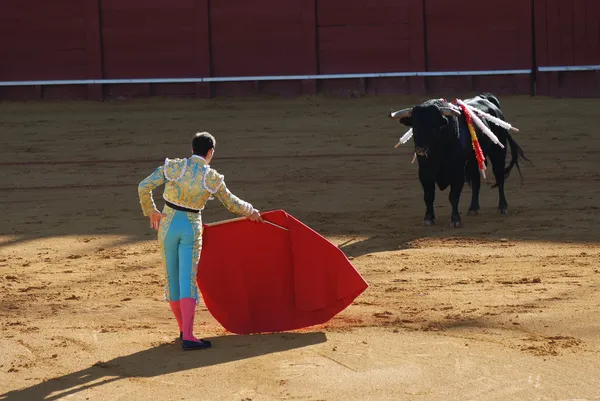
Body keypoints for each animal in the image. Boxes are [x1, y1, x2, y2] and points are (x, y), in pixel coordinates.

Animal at [390, 92, 528, 227]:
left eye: (434, 126)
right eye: (414, 126)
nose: (421, 150)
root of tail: (487, 99)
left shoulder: (457, 172)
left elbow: (454, 196)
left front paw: (455, 219)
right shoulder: (424, 171)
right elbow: (428, 196)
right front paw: (428, 218)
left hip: (498, 152)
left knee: (499, 176)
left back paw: (503, 207)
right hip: (473, 161)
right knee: (476, 180)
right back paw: (473, 208)